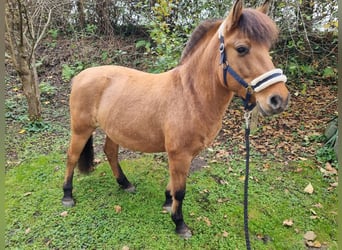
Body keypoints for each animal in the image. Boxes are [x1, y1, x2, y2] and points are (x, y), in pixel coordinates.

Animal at [60, 0, 288, 238]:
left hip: (113, 130)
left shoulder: (185, 155)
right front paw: (179, 223)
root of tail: (81, 76)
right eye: (242, 48)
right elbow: (180, 191)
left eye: (267, 49)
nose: (278, 99)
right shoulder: (180, 154)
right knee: (71, 157)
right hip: (81, 129)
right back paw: (67, 195)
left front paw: (168, 203)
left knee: (110, 153)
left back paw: (125, 184)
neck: (190, 96)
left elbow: (173, 186)